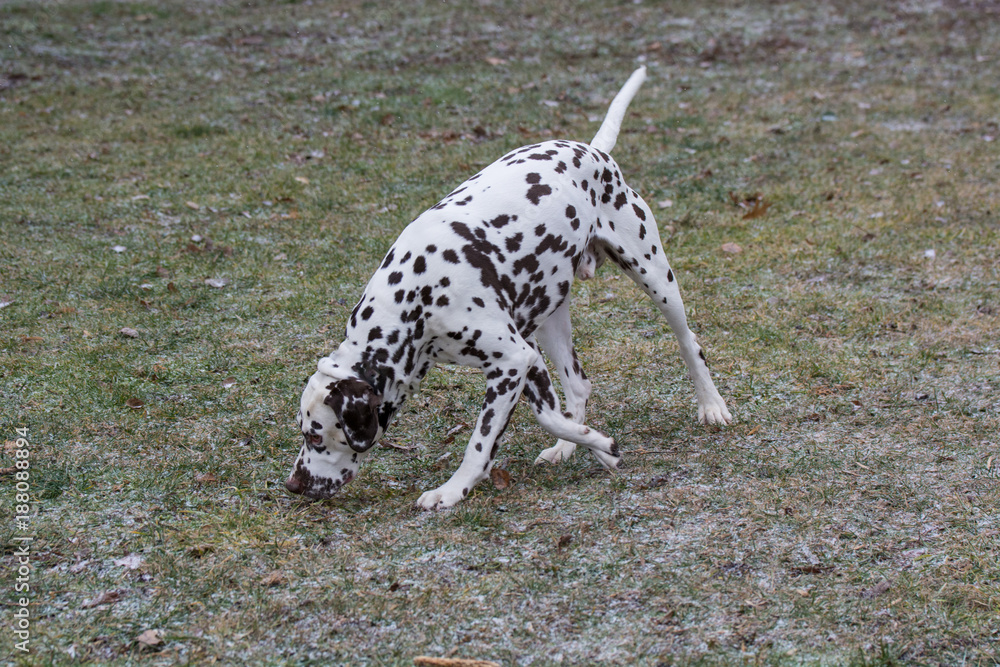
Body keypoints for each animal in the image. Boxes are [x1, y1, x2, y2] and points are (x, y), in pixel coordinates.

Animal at [286, 66, 732, 512]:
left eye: (315, 434)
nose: (293, 485)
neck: (416, 300)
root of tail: (593, 152)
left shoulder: (511, 362)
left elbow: (482, 442)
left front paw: (452, 490)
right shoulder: (526, 358)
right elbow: (551, 416)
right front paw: (599, 446)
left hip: (655, 278)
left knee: (688, 342)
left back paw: (712, 406)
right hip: (550, 320)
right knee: (578, 386)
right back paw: (566, 449)